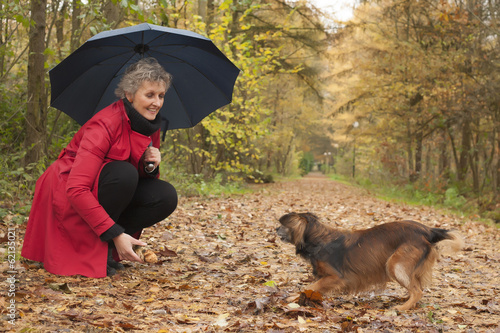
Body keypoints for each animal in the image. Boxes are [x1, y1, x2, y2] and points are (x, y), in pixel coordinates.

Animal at [276, 213, 462, 308]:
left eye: (283, 225)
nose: (275, 228)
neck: (318, 240)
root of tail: (428, 230)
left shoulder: (336, 277)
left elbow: (309, 287)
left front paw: (291, 298)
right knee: (417, 288)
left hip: (395, 264)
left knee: (417, 291)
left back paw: (401, 308)